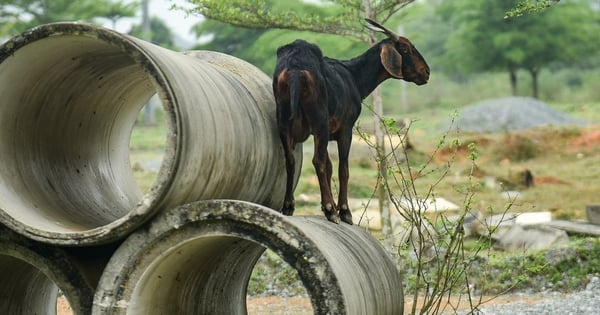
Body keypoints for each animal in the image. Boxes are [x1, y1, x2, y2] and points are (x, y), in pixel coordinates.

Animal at [274, 18, 428, 225]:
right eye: (405, 48)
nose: (426, 72)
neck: (354, 77)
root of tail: (296, 70)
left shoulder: (324, 132)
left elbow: (330, 167)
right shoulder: (345, 129)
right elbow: (342, 169)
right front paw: (343, 211)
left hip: (284, 120)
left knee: (291, 159)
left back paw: (288, 206)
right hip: (319, 119)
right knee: (317, 161)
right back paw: (331, 210)